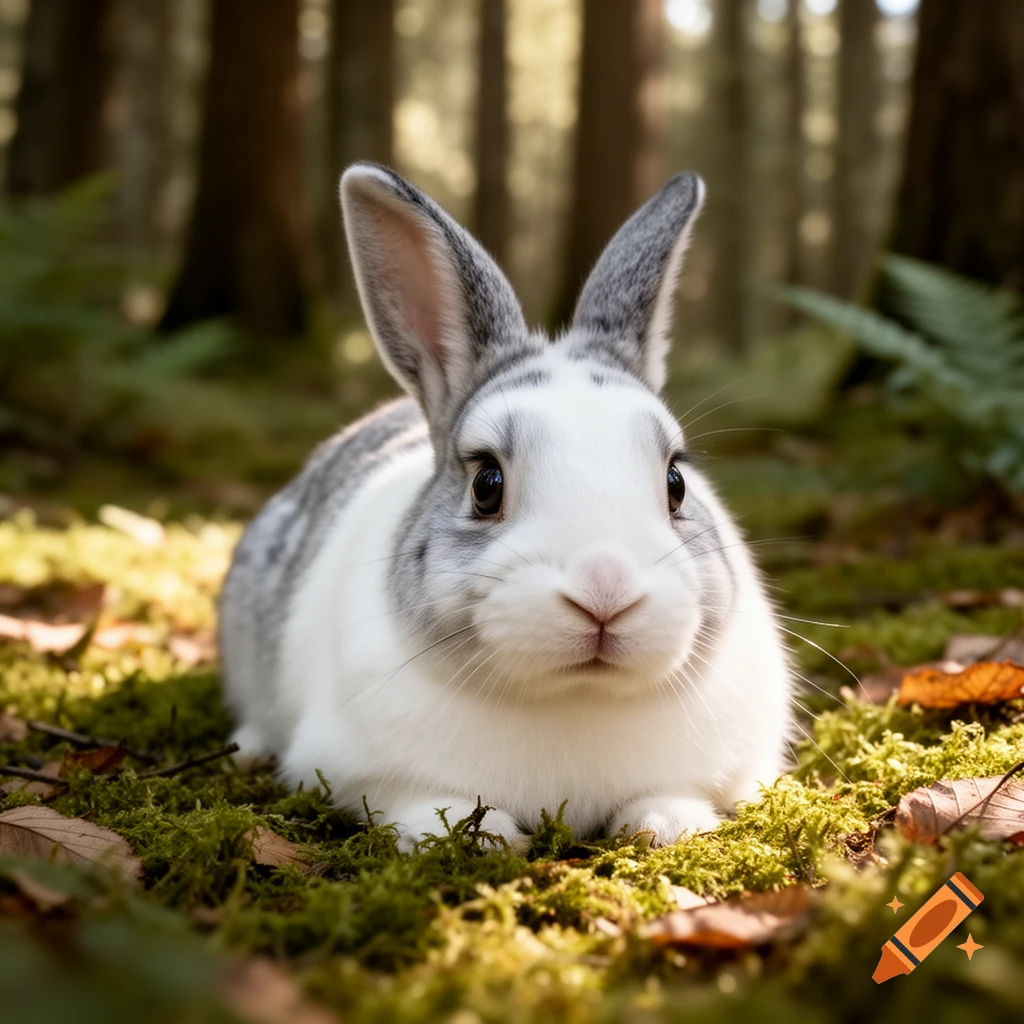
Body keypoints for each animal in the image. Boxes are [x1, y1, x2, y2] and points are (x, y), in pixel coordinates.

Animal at [218, 162, 794, 852]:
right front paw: (476, 836)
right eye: (486, 484)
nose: (605, 589)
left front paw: (667, 826)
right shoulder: (366, 770)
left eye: (676, 482)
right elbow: (411, 799)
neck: (574, 697)